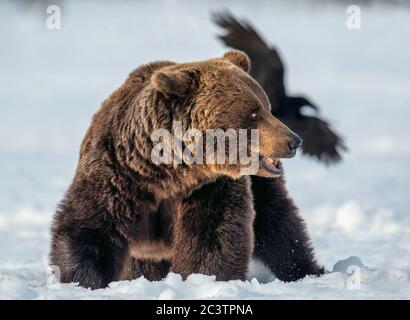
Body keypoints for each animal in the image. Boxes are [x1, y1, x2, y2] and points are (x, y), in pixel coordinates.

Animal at [48, 50, 324, 290]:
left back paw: (304, 271)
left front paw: (203, 279)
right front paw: (83, 281)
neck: (167, 174)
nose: (294, 140)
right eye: (254, 113)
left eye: (266, 107)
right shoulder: (117, 177)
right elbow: (89, 230)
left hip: (259, 185)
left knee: (278, 224)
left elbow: (212, 237)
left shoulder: (208, 187)